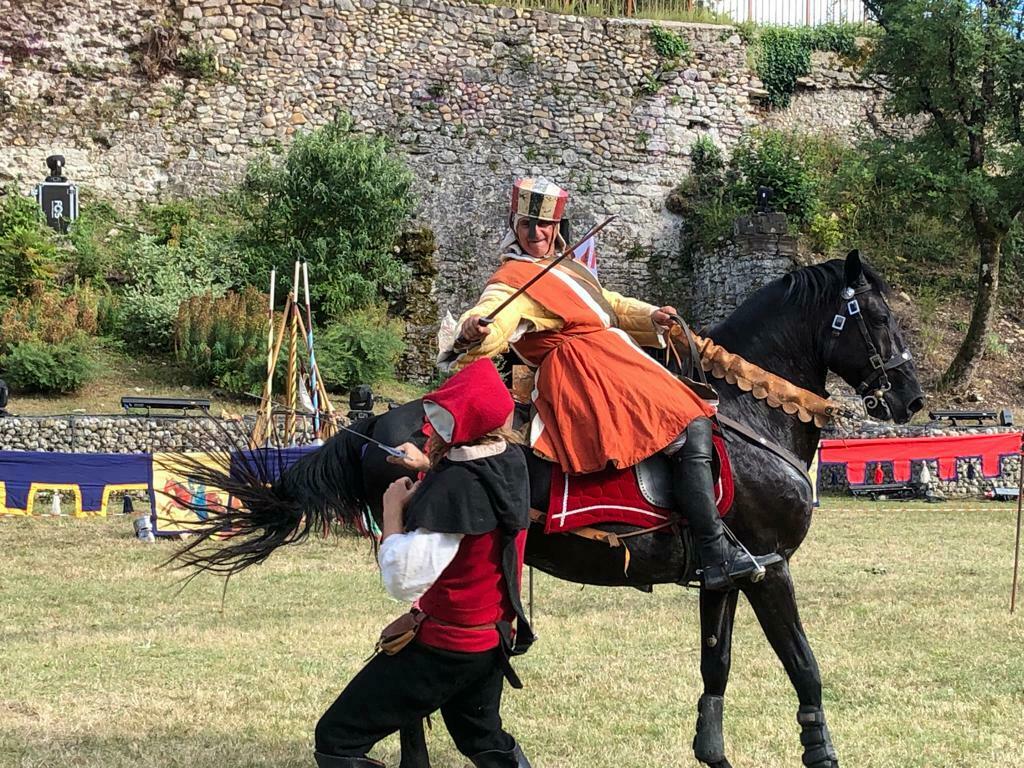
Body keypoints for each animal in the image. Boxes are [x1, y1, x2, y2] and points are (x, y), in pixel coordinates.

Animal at [174, 252, 921, 768]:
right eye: (880, 318)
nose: (910, 400)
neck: (750, 412)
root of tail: (373, 426)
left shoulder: (728, 578)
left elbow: (717, 665)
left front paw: (712, 751)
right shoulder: (771, 570)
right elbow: (804, 663)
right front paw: (820, 752)